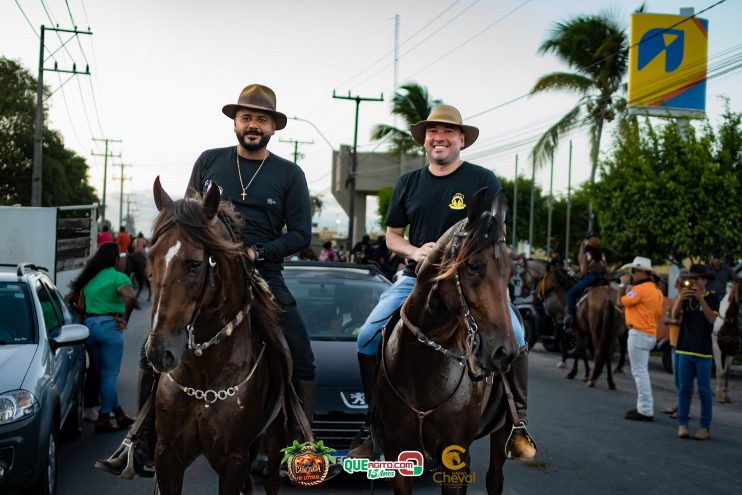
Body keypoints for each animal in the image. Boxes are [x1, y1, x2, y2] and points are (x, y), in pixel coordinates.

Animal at [144, 179, 310, 495]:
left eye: (194, 264)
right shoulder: (167, 454)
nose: (160, 352)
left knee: (270, 478)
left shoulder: (233, 458)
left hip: (274, 439)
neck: (204, 376)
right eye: (150, 259)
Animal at [380, 188, 520, 494]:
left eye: (511, 272)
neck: (422, 366)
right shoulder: (398, 451)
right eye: (474, 266)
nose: (503, 353)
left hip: (501, 430)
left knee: (494, 478)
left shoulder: (454, 455)